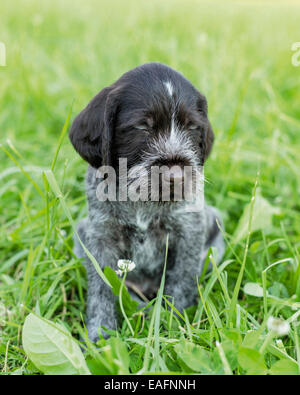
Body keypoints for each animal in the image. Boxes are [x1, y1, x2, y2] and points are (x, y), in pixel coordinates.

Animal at [69, 63, 225, 342]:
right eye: (142, 127)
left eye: (192, 127)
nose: (176, 176)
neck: (141, 198)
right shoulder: (100, 237)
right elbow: (102, 289)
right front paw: (101, 335)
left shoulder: (188, 232)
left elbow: (182, 281)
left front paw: (173, 325)